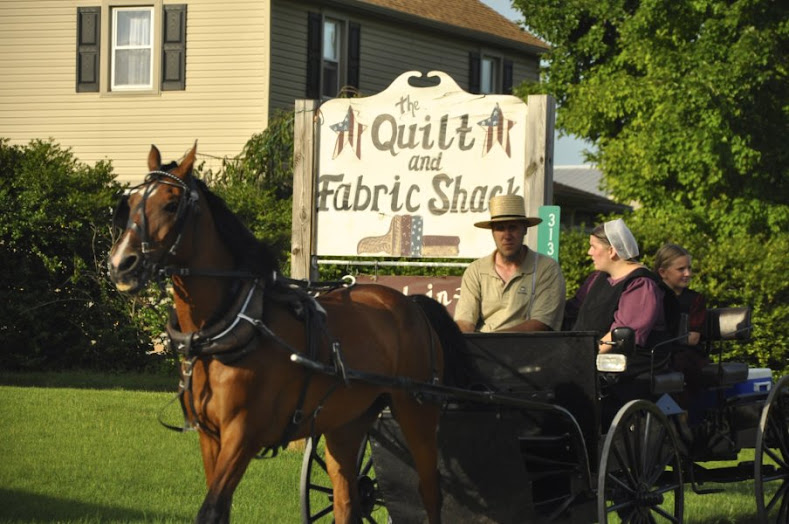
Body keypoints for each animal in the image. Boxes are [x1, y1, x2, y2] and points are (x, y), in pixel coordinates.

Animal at [104, 143, 462, 524]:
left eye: (171, 204)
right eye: (132, 201)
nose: (121, 264)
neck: (234, 326)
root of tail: (410, 304)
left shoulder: (243, 435)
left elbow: (211, 509)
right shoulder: (210, 436)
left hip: (417, 411)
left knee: (429, 491)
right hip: (347, 421)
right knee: (347, 498)